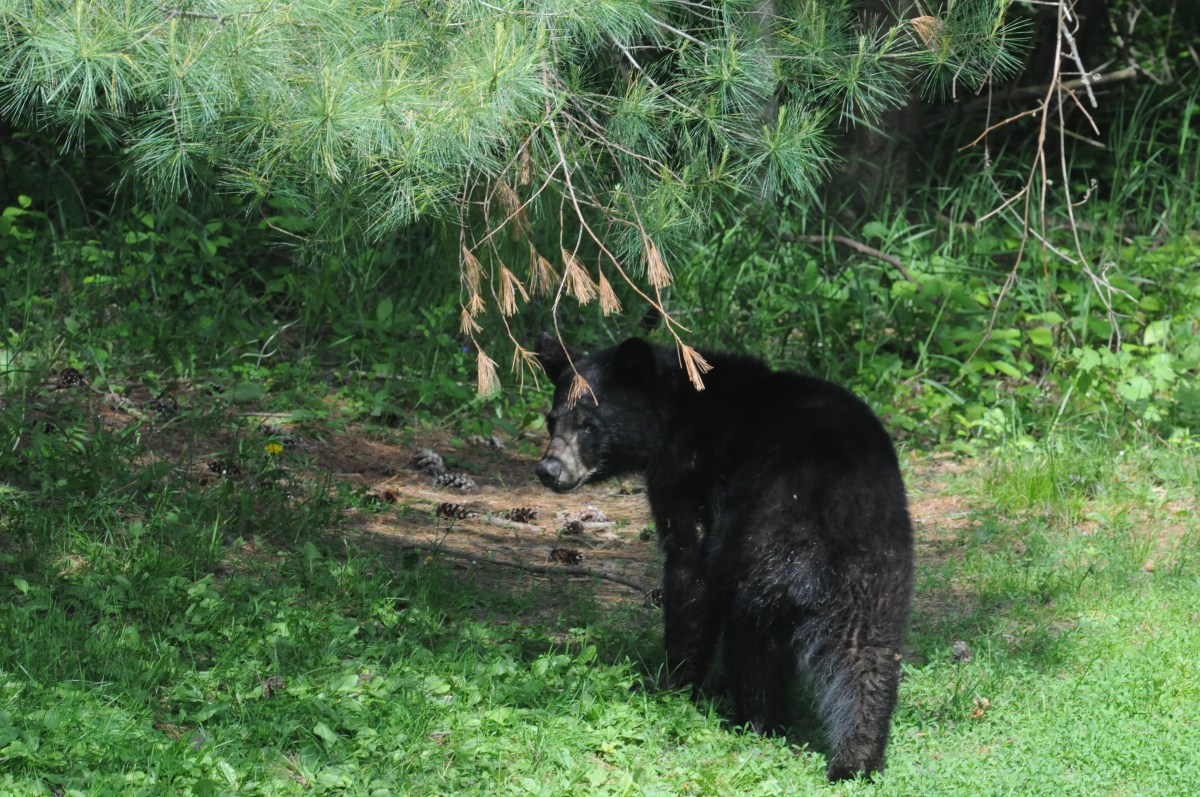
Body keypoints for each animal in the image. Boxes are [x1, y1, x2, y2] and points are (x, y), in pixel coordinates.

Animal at [533, 332, 914, 781]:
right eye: (551, 420)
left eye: (588, 425)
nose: (549, 470)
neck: (676, 406)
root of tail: (831, 491)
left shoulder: (688, 472)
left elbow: (690, 565)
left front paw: (670, 682)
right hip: (877, 562)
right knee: (869, 650)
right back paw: (858, 758)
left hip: (760, 543)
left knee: (754, 634)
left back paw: (755, 718)